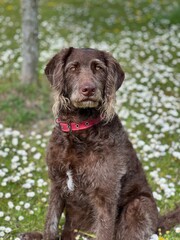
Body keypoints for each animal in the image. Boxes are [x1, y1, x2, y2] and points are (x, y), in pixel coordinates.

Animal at [21, 47, 180, 240]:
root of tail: (158, 224)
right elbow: (50, 224)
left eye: (99, 68)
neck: (79, 129)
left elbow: (104, 229)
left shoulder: (105, 194)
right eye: (72, 68)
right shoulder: (57, 184)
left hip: (139, 205)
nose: (88, 89)